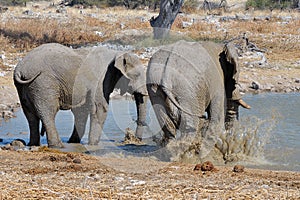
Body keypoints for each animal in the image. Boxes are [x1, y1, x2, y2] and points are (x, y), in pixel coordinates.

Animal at [14, 43, 148, 148]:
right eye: (137, 75)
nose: (136, 140)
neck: (117, 54)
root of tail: (20, 70)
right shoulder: (101, 80)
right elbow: (100, 108)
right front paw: (93, 145)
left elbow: (81, 110)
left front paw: (74, 142)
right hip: (43, 83)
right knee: (48, 112)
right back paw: (58, 146)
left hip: (24, 87)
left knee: (30, 115)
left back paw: (33, 144)